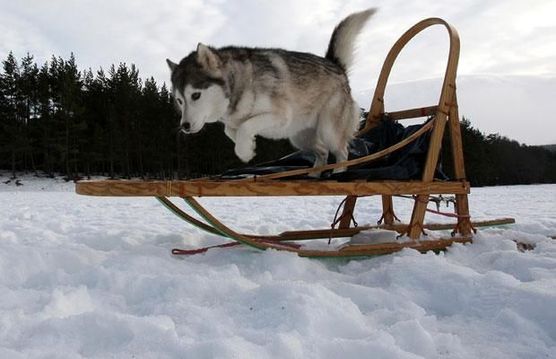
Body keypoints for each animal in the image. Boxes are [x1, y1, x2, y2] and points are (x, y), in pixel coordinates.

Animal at [165, 8, 374, 172]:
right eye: (179, 100)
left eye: (195, 95)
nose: (184, 126)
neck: (240, 84)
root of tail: (335, 65)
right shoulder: (234, 121)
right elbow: (230, 130)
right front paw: (248, 146)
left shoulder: (281, 115)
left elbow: (245, 126)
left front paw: (244, 151)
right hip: (299, 137)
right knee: (322, 152)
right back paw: (314, 174)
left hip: (328, 130)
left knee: (342, 152)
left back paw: (338, 173)